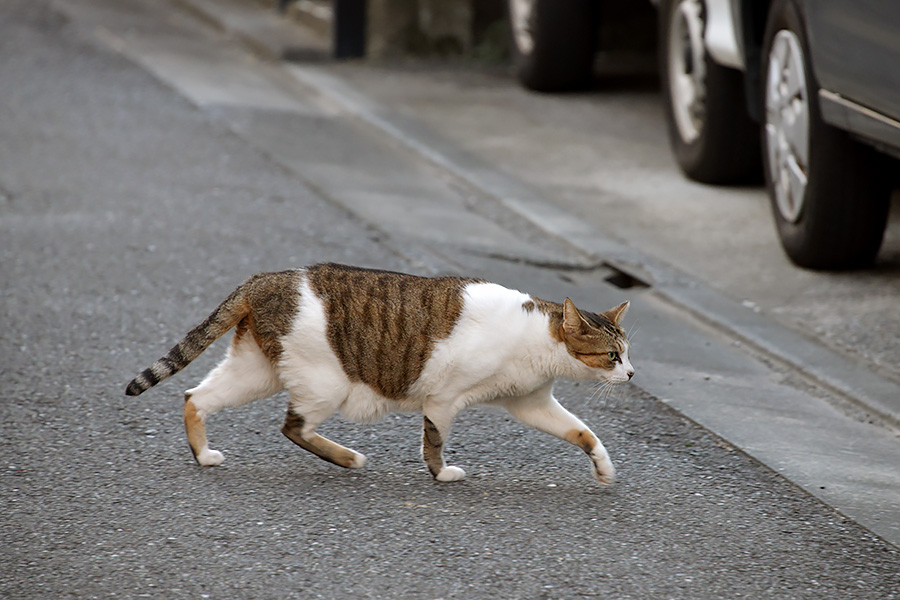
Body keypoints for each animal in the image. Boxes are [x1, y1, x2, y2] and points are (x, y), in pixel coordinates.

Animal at [125, 262, 632, 482]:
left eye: (628, 353)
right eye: (612, 356)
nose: (631, 375)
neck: (538, 341)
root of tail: (266, 278)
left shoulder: (531, 402)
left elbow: (582, 431)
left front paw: (604, 469)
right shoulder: (444, 399)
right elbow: (434, 442)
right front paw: (441, 474)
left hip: (255, 370)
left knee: (195, 397)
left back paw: (203, 455)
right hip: (324, 382)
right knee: (293, 426)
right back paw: (349, 458)